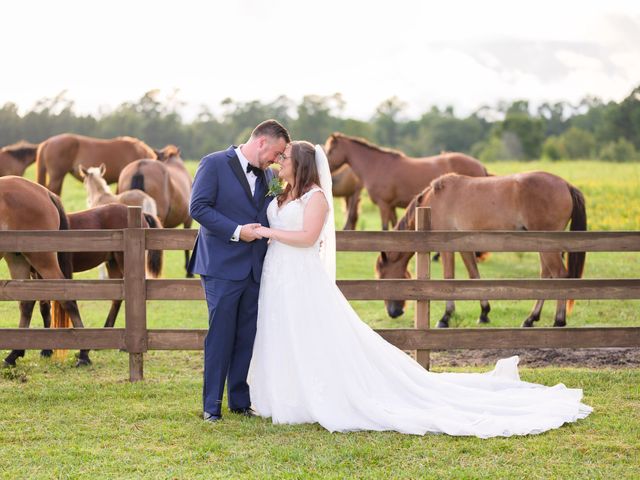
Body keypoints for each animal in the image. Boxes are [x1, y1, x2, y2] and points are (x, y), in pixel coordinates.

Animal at [0, 176, 87, 368]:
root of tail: (45, 192)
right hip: (18, 260)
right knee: (27, 303)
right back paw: (14, 354)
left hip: (42, 259)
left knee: (67, 298)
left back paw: (84, 354)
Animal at [328, 133, 488, 231]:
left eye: (329, 151)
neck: (378, 165)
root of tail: (480, 165)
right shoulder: (391, 206)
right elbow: (394, 226)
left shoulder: (383, 205)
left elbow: (384, 227)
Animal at [376, 173, 592, 330]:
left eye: (383, 276)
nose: (393, 312)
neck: (434, 199)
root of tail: (566, 185)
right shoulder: (464, 247)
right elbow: (474, 276)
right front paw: (484, 313)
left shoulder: (446, 248)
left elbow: (448, 279)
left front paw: (445, 317)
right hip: (544, 245)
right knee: (547, 276)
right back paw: (530, 319)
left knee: (559, 275)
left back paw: (558, 321)